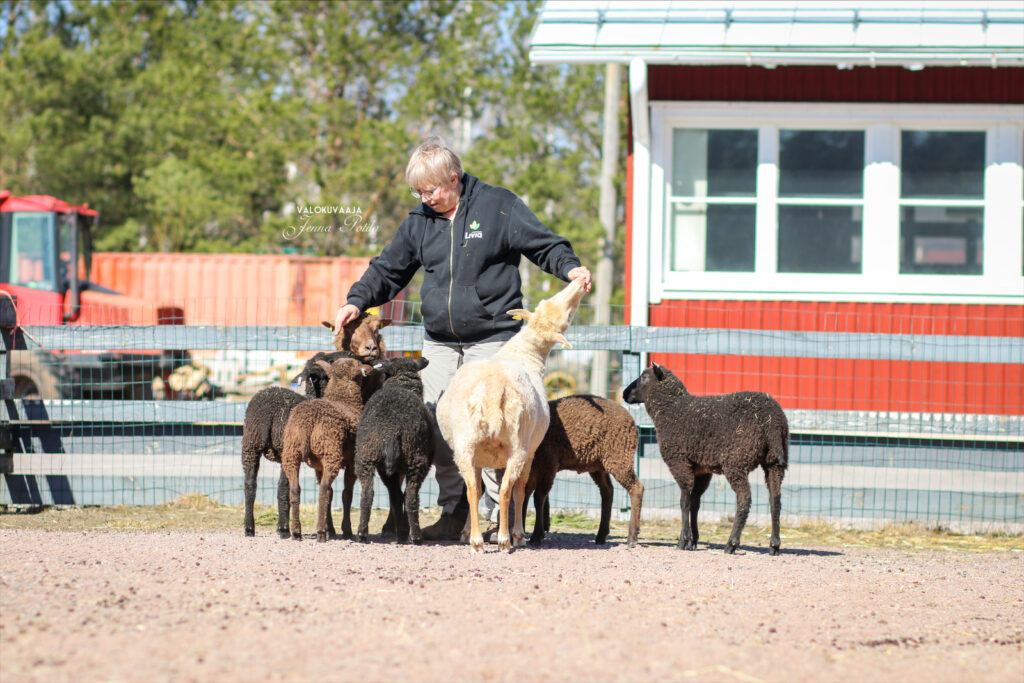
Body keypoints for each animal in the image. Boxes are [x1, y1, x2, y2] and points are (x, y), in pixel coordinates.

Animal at [354, 358, 434, 544]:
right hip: (417, 459)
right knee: (411, 496)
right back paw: (416, 536)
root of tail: (391, 431)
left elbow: (395, 497)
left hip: (367, 458)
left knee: (369, 494)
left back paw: (362, 533)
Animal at [436, 278, 589, 557]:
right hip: (517, 446)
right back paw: (506, 540)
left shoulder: (478, 457)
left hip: (465, 444)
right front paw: (518, 535)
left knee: (472, 488)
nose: (581, 281)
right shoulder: (530, 452)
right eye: (567, 317)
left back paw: (476, 541)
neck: (524, 354)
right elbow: (520, 491)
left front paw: (466, 531)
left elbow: (476, 489)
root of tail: (494, 388)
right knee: (508, 489)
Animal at [528, 395, 638, 544]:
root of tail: (632, 421)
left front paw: (536, 535)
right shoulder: (534, 469)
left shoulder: (548, 464)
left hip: (619, 458)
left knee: (636, 488)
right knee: (608, 491)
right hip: (598, 465)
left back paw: (632, 537)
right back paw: (601, 535)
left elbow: (538, 497)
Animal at [618, 362, 786, 557]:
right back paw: (774, 545)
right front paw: (693, 541)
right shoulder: (702, 470)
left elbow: (684, 502)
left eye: (644, 376)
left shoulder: (679, 462)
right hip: (774, 462)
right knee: (775, 499)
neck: (671, 409)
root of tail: (772, 422)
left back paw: (731, 543)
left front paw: (683, 541)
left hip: (736, 461)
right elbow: (695, 503)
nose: (624, 393)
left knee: (745, 498)